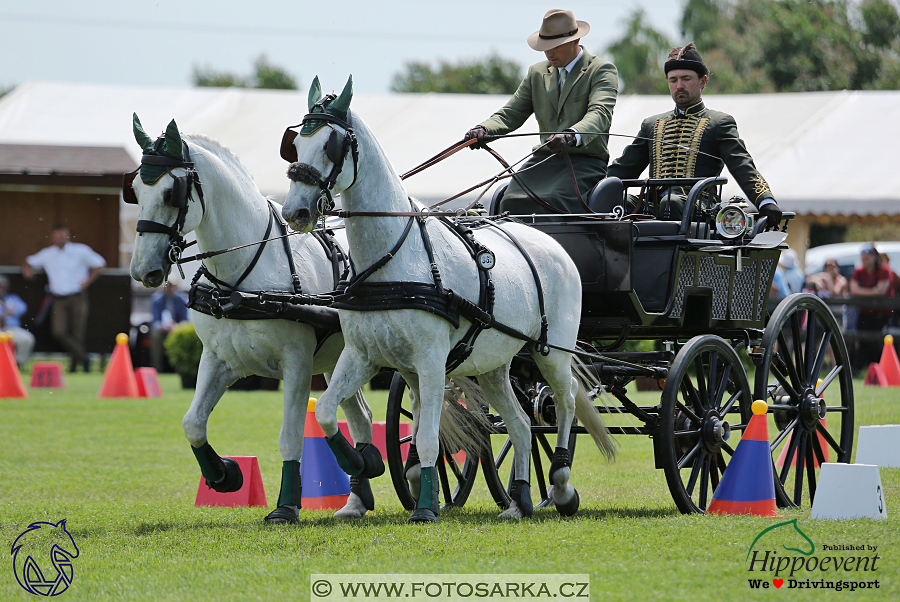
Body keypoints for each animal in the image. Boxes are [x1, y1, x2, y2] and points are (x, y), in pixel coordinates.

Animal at [125, 116, 378, 520]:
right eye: (133, 189)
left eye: (170, 194)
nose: (142, 270)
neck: (243, 278)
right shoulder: (218, 359)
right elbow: (193, 423)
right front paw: (224, 474)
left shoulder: (297, 364)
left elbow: (290, 437)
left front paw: (286, 506)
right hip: (343, 358)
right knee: (360, 417)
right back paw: (358, 491)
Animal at [284, 77, 620, 520]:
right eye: (294, 144)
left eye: (332, 145)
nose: (296, 212)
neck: (394, 258)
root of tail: (549, 239)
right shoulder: (363, 355)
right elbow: (325, 410)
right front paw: (364, 461)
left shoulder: (430, 361)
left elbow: (428, 437)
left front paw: (425, 508)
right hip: (495, 366)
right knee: (520, 424)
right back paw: (519, 501)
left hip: (552, 352)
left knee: (563, 404)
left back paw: (561, 486)